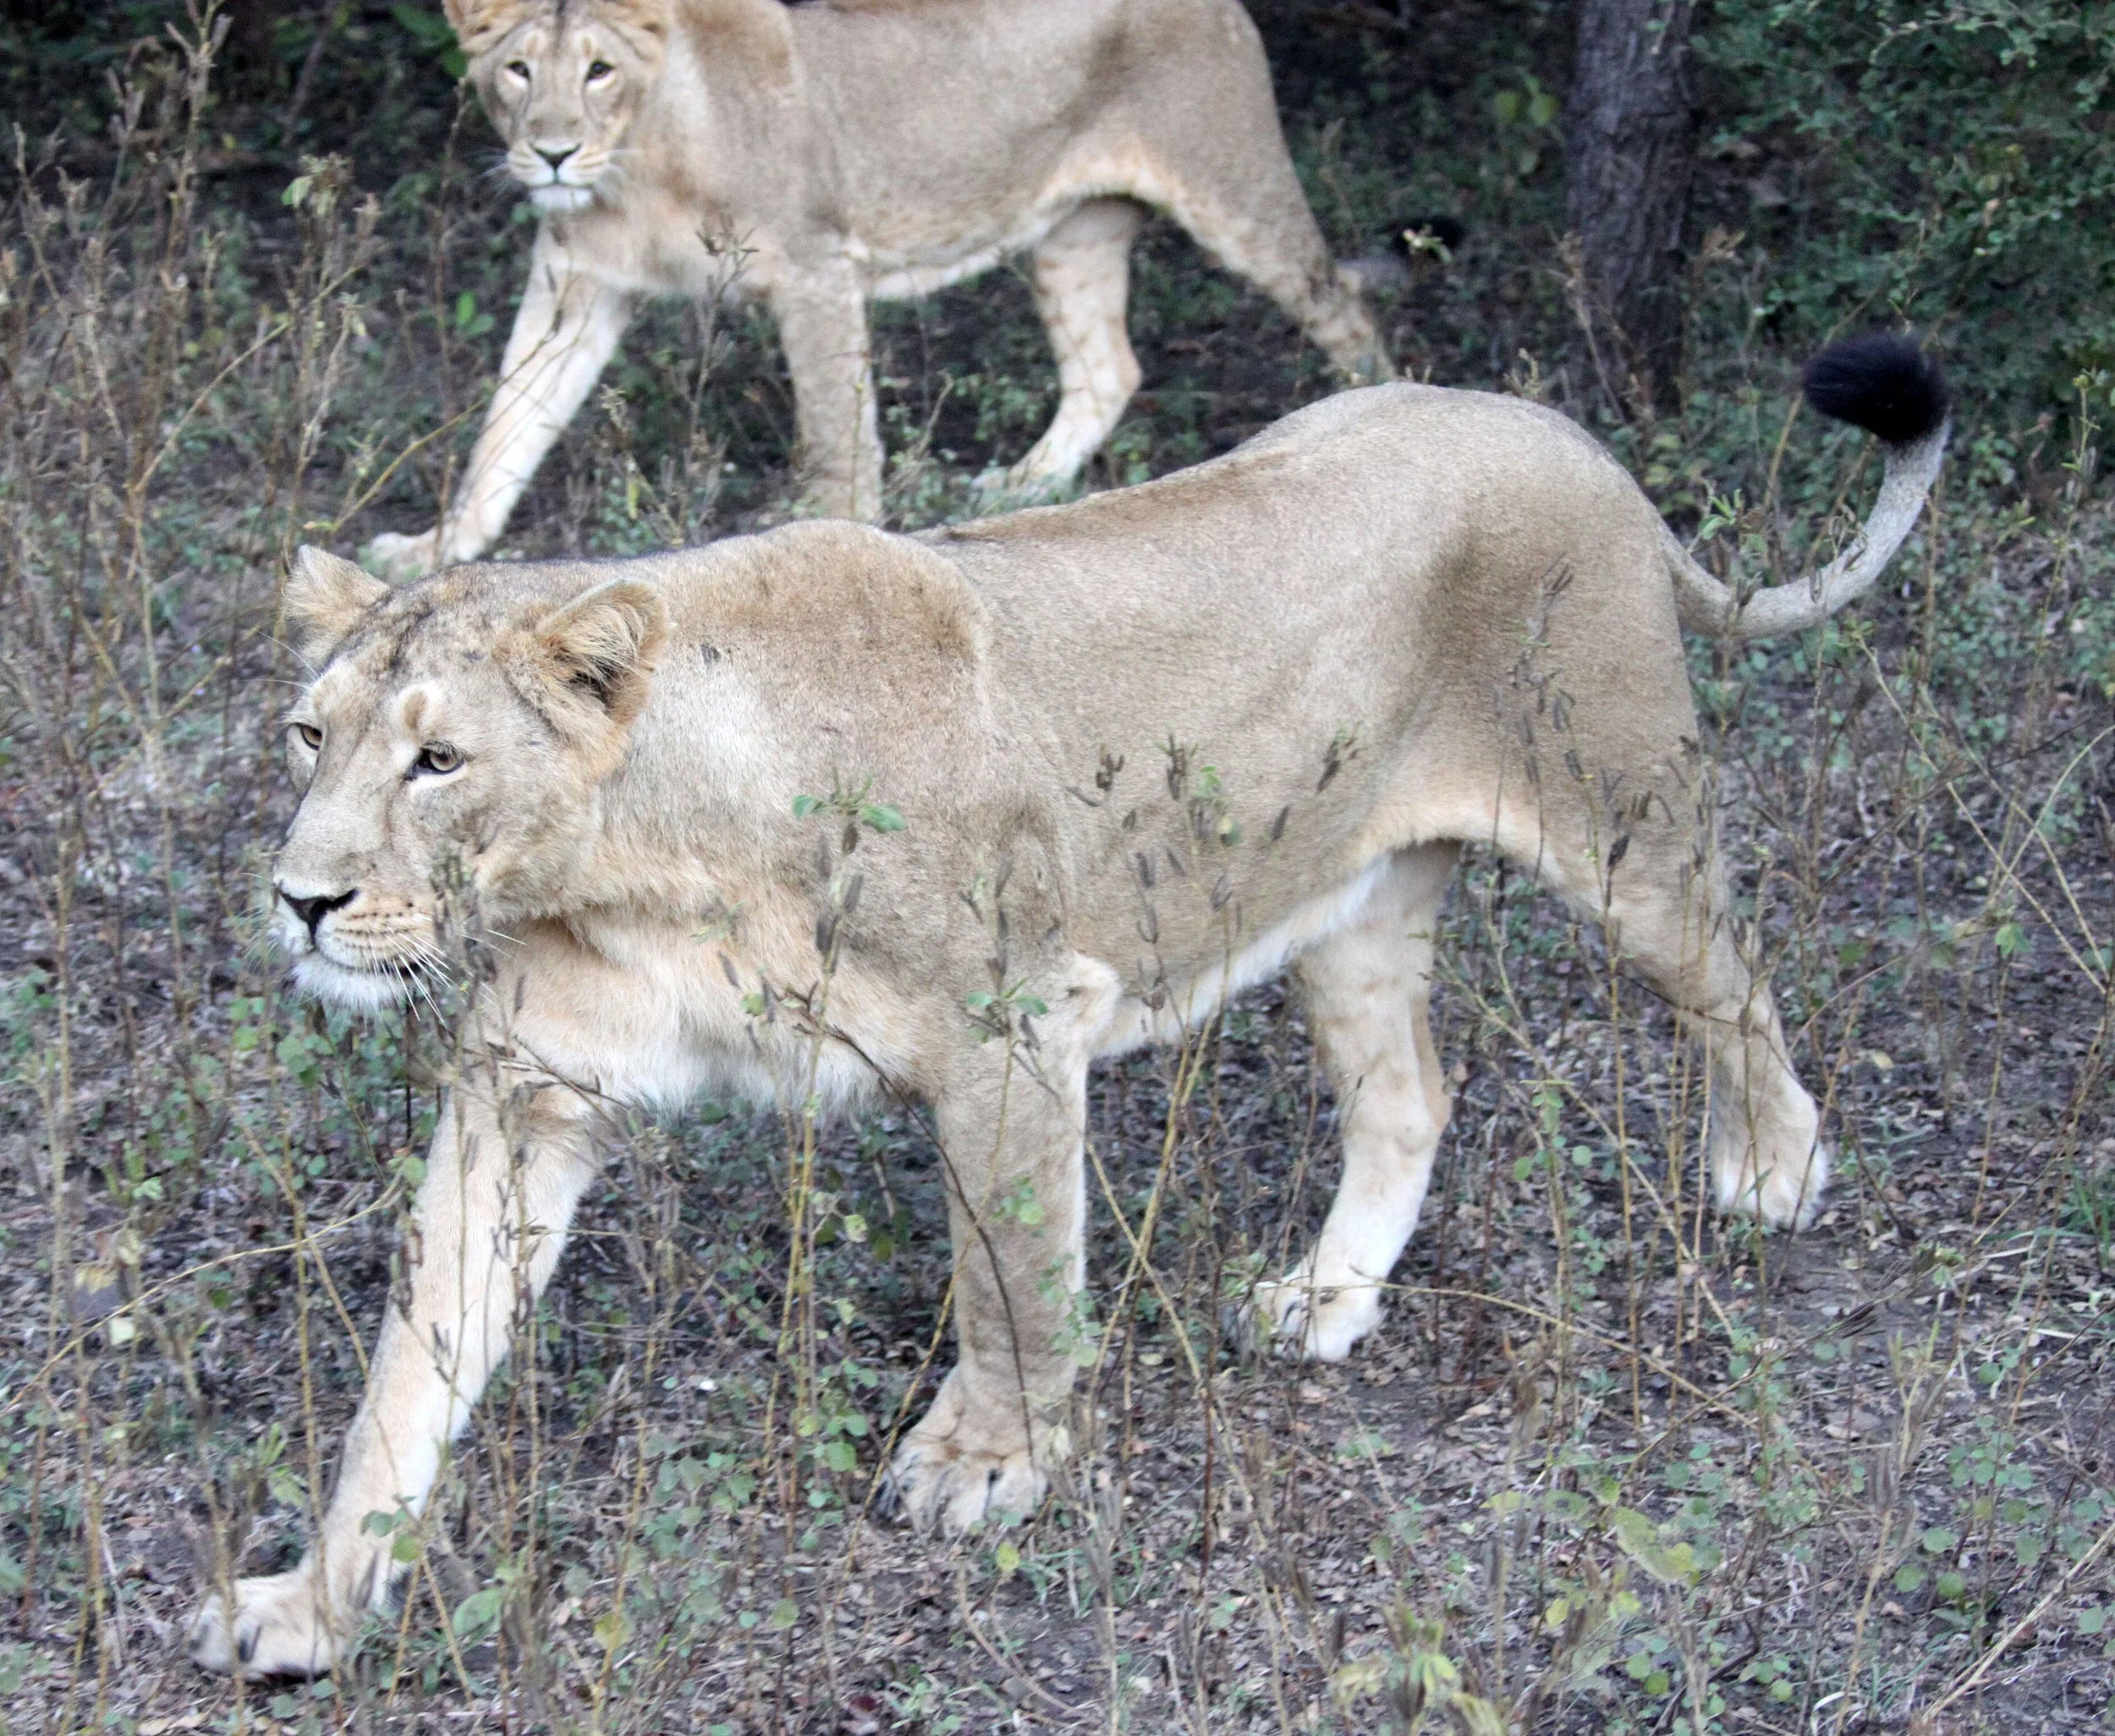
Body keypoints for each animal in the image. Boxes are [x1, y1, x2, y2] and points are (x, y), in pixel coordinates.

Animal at [191, 335, 1946, 1676]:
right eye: (307, 735)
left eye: (438, 759)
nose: (303, 898)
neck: (631, 869)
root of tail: (1575, 437)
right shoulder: (525, 1084)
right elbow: (410, 1370)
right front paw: (312, 1604)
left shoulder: (1014, 1022)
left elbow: (1012, 1276)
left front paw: (989, 1466)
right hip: (1348, 902)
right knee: (1410, 1093)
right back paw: (1326, 1299)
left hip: (1619, 812)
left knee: (1734, 976)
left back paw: (1773, 1168)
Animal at [362, 0, 1396, 579]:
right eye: (517, 70)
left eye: (599, 71)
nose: (551, 151)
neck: (636, 166)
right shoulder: (575, 283)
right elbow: (506, 426)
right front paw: (436, 552)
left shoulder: (813, 269)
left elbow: (838, 444)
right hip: (1073, 233)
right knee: (1110, 368)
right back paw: (1019, 489)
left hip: (1236, 190)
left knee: (1345, 313)